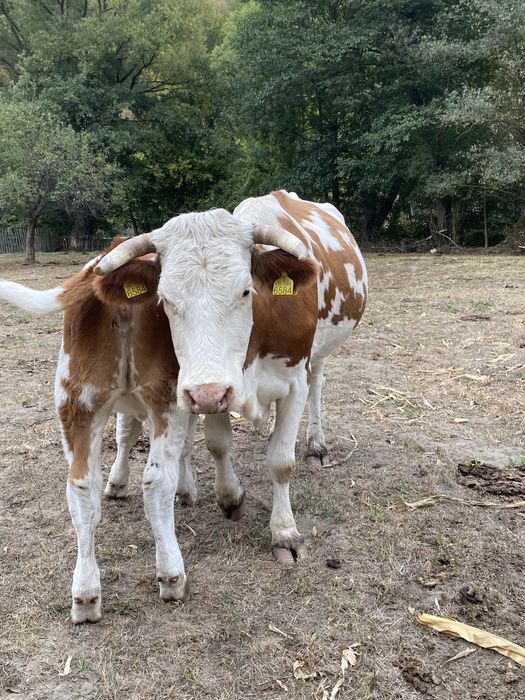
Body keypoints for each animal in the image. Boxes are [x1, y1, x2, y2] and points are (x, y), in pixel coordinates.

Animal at [0, 190, 367, 624]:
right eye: (166, 299)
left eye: (246, 291)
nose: (206, 393)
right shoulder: (207, 389)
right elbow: (219, 445)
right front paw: (232, 498)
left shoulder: (281, 381)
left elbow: (280, 460)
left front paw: (284, 531)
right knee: (140, 479)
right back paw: (160, 572)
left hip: (85, 402)